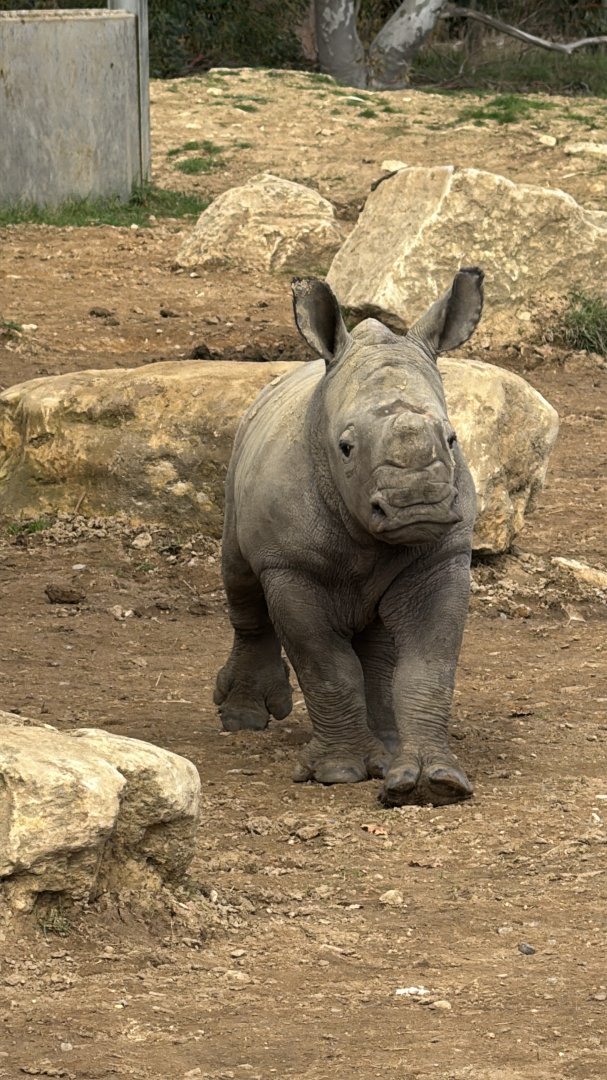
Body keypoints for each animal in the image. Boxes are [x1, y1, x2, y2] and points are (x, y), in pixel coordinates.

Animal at [214, 267, 484, 807]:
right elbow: (324, 663)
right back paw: (243, 719)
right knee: (240, 579)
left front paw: (434, 784)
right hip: (238, 461)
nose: (417, 504)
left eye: (451, 439)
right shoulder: (290, 566)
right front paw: (338, 773)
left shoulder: (442, 554)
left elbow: (430, 665)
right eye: (344, 447)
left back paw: (387, 747)